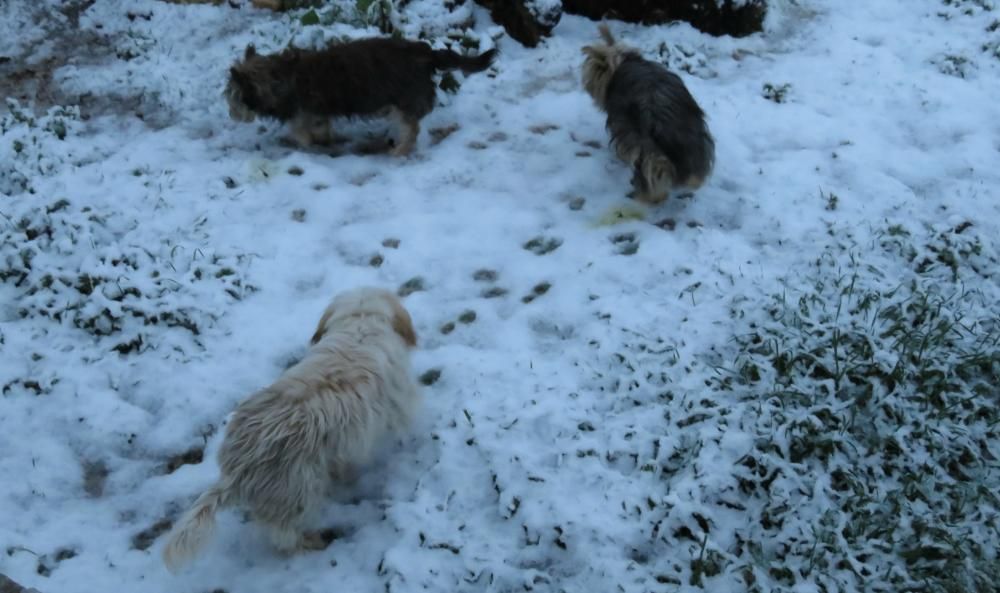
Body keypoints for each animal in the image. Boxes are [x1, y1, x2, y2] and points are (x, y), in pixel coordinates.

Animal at [162, 286, 420, 568]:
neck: (360, 323)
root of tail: (238, 466)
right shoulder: (398, 406)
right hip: (299, 493)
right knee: (283, 536)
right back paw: (309, 543)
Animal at [223, 37, 496, 155]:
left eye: (232, 97)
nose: (231, 115)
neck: (277, 76)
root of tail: (427, 54)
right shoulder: (317, 114)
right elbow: (321, 130)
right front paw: (325, 140)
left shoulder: (303, 114)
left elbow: (303, 135)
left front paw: (302, 143)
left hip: (402, 103)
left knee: (412, 129)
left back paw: (400, 150)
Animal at [584, 24, 716, 204]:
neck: (624, 61)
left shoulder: (621, 126)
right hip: (694, 136)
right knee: (696, 170)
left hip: (647, 145)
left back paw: (651, 195)